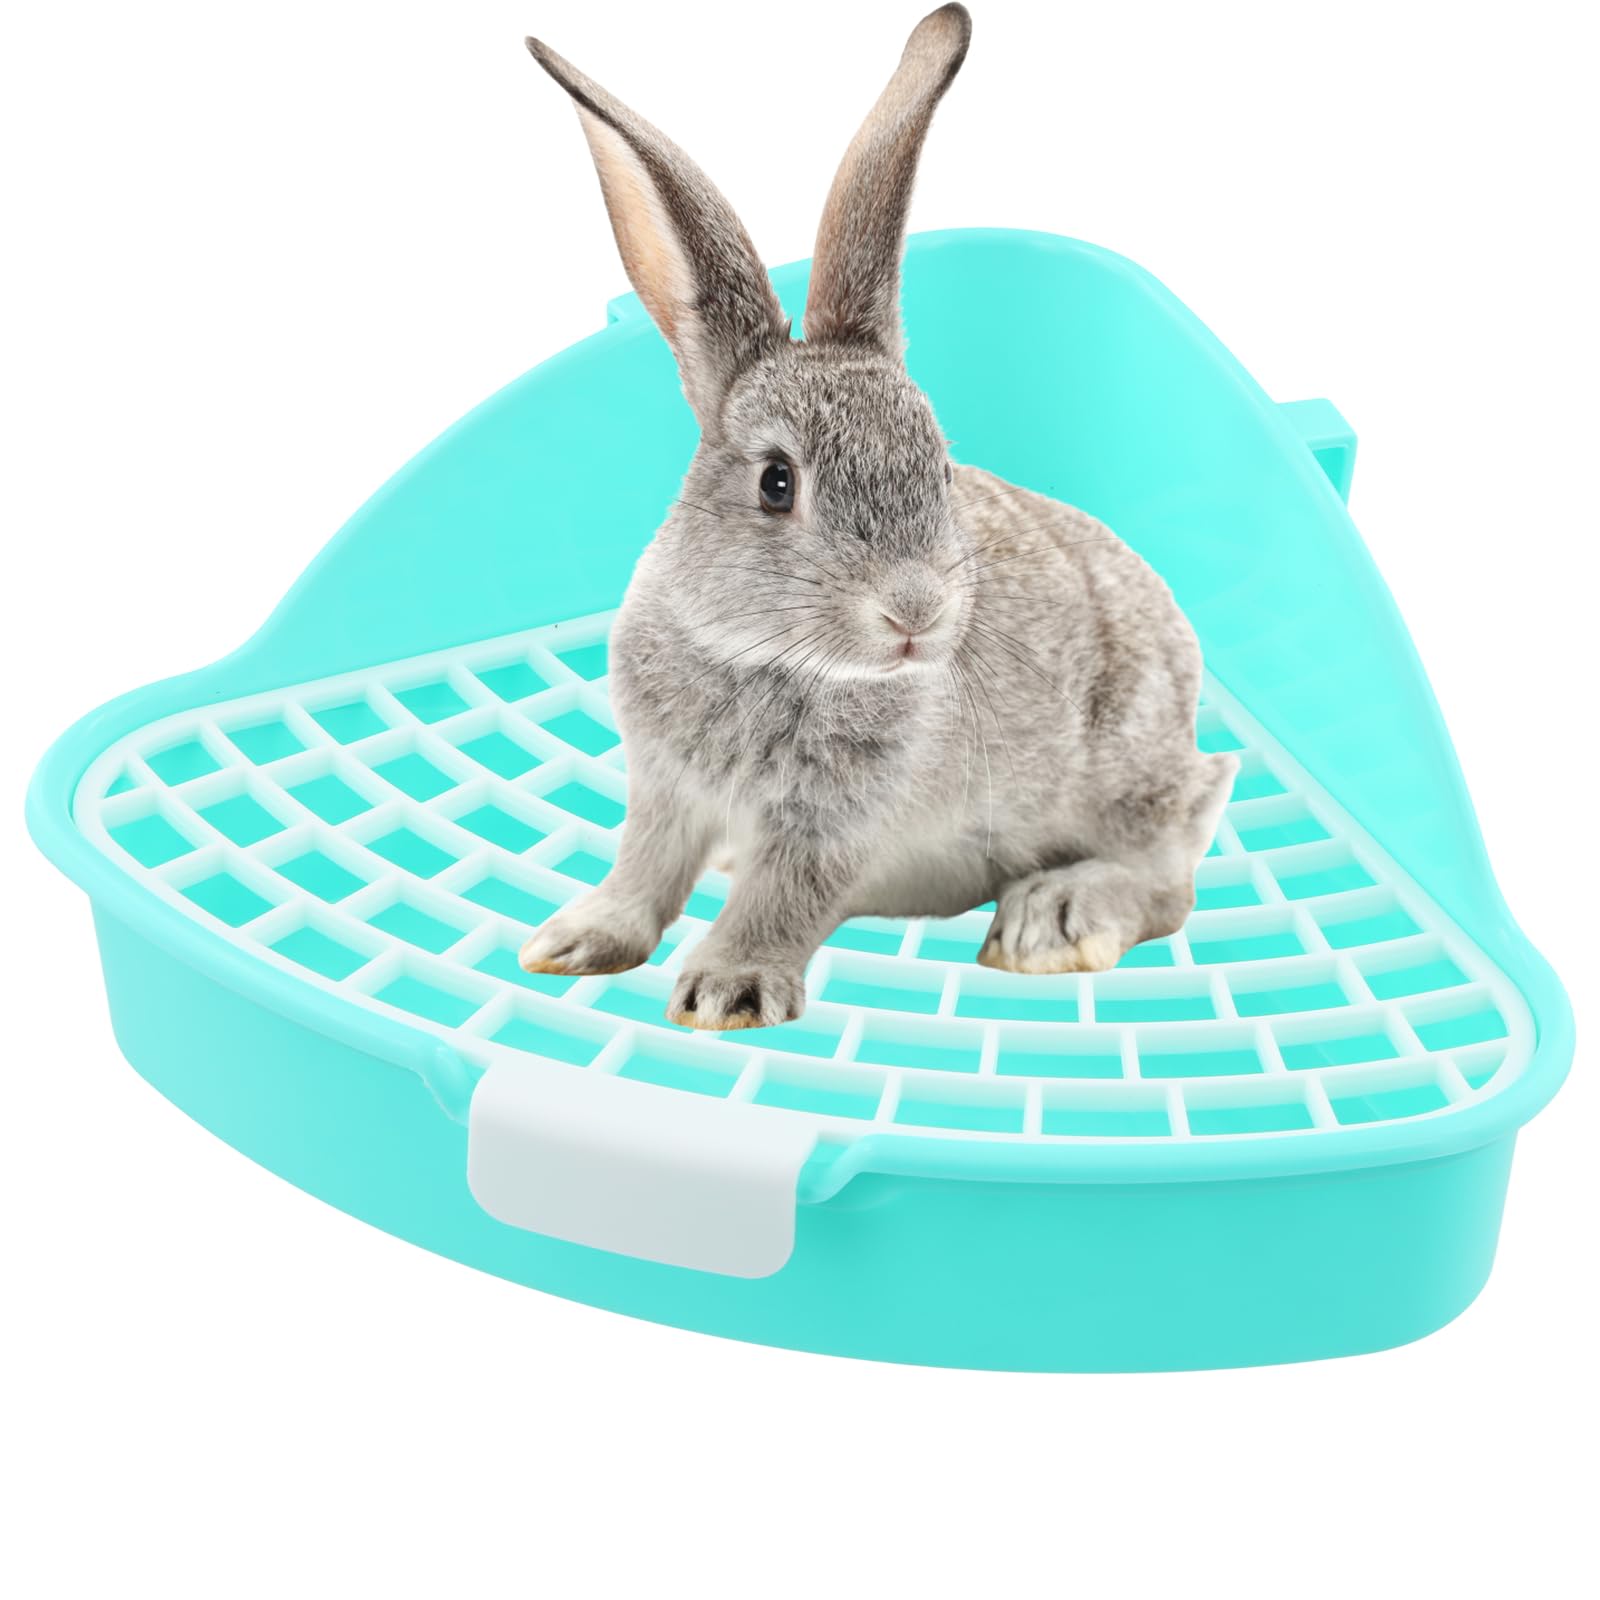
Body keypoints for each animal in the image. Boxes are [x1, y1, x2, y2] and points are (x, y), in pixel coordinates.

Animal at [517, 3, 1237, 1030]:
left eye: (937, 465)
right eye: (777, 483)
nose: (917, 612)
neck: (768, 657)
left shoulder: (832, 827)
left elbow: (780, 898)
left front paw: (727, 990)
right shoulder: (664, 791)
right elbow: (644, 869)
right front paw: (576, 941)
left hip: (1126, 776)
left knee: (1170, 874)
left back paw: (1051, 922)